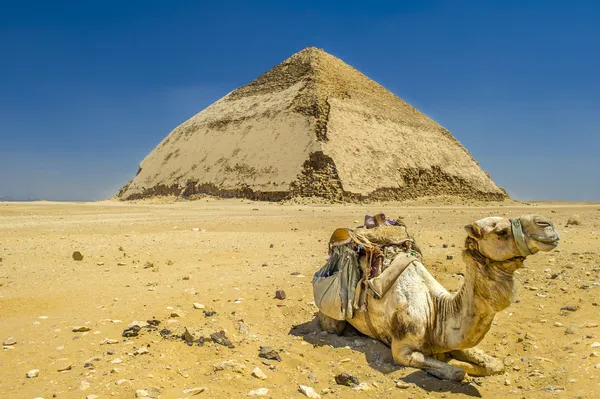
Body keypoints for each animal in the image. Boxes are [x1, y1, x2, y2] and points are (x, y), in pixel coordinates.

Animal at [322, 216, 560, 382]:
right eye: (501, 231)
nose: (547, 224)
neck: (436, 310)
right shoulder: (402, 350)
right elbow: (456, 373)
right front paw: (458, 365)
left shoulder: (449, 337)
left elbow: (495, 365)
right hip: (333, 318)